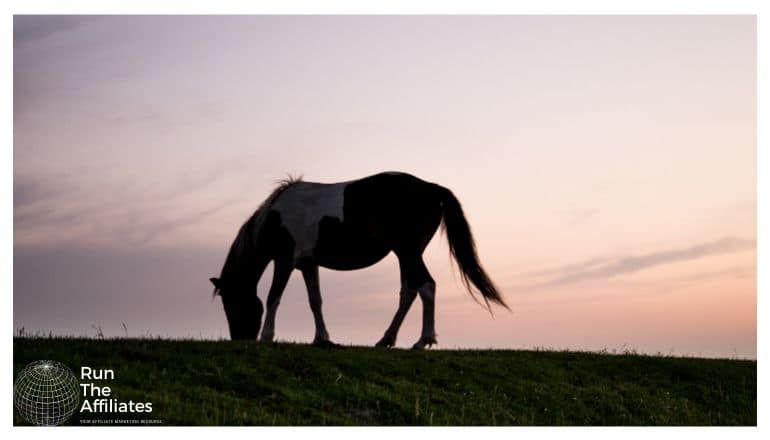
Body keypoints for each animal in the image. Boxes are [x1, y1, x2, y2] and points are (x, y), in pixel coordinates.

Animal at [210, 170, 508, 348]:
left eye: (230, 303)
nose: (240, 339)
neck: (276, 216)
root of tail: (432, 189)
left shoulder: (285, 261)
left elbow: (274, 297)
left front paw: (267, 337)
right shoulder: (308, 264)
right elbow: (315, 300)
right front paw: (322, 339)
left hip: (408, 251)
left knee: (425, 286)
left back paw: (422, 340)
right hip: (405, 254)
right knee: (410, 290)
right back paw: (387, 339)